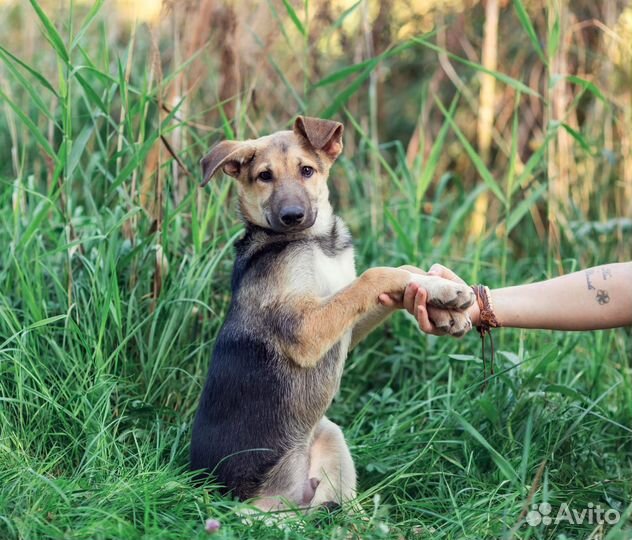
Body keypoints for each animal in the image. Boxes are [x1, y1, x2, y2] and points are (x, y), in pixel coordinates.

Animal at [193, 116, 474, 512]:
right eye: (264, 176)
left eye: (307, 170)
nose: (292, 216)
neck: (316, 242)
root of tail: (292, 500)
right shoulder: (304, 330)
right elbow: (376, 275)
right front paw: (443, 292)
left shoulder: (343, 323)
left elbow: (392, 276)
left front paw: (441, 300)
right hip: (253, 510)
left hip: (330, 435)